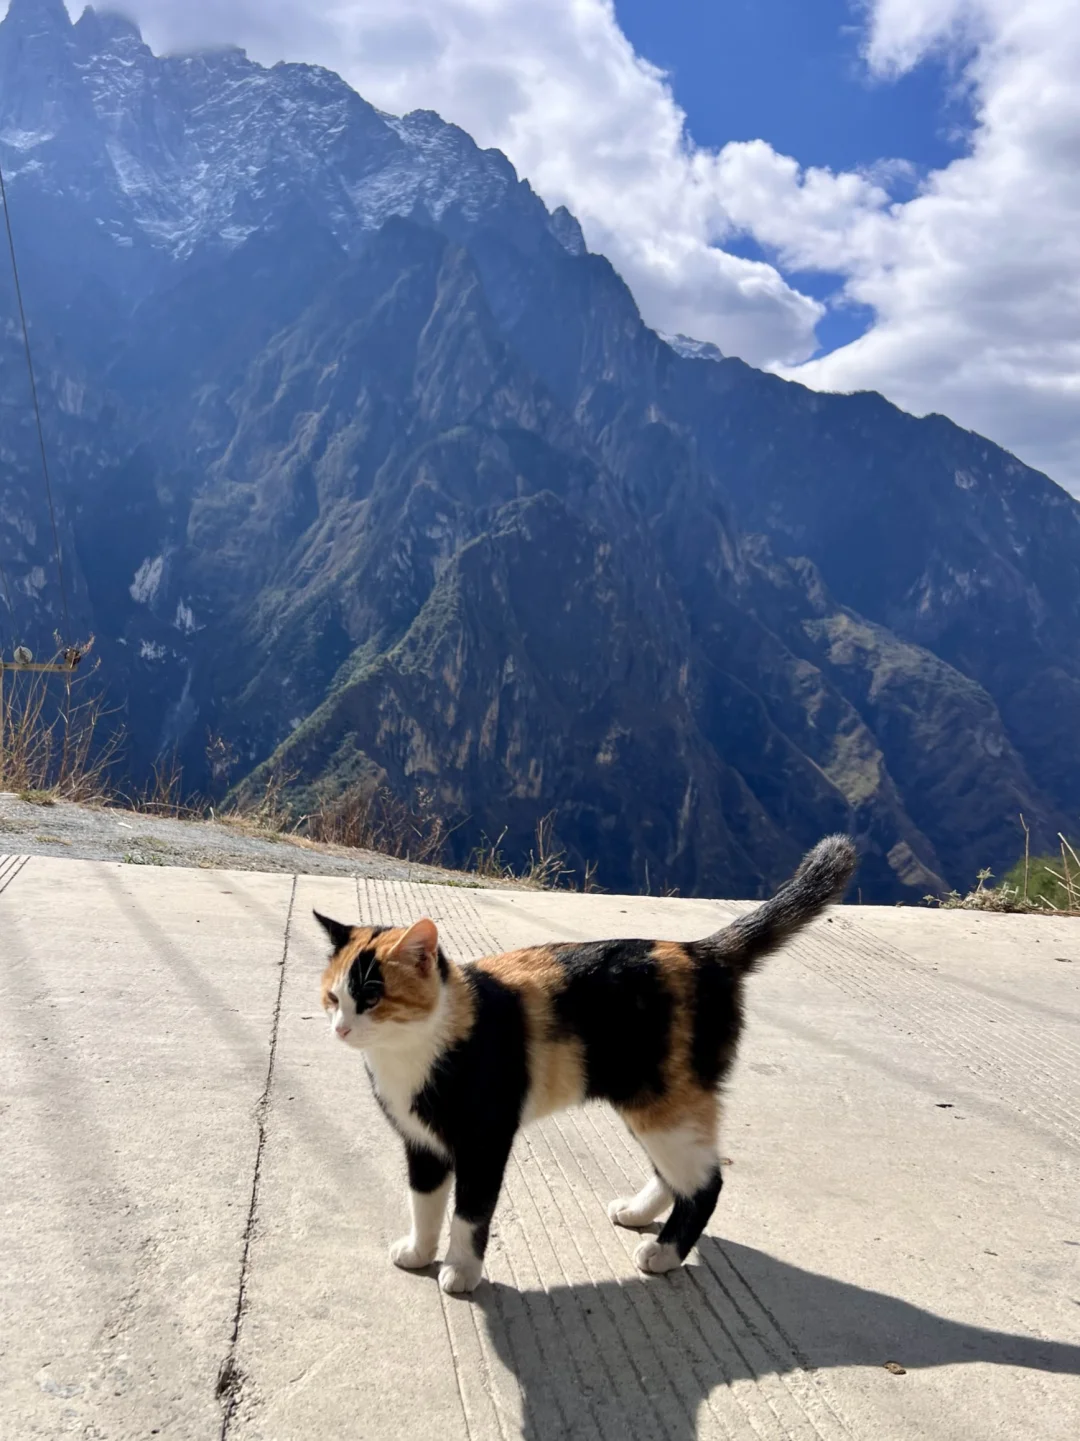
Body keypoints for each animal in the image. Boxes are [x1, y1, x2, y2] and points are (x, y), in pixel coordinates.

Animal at [316, 834, 856, 1295]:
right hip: (651, 1103)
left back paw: (663, 1254)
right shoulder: (421, 1143)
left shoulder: (484, 1143)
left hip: (665, 1106)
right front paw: (419, 1252)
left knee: (707, 1182)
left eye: (371, 998)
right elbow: (424, 1204)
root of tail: (700, 951)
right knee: (674, 1174)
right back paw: (637, 1211)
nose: (340, 1029)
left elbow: (470, 1214)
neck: (411, 1054)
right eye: (333, 998)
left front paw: (461, 1271)